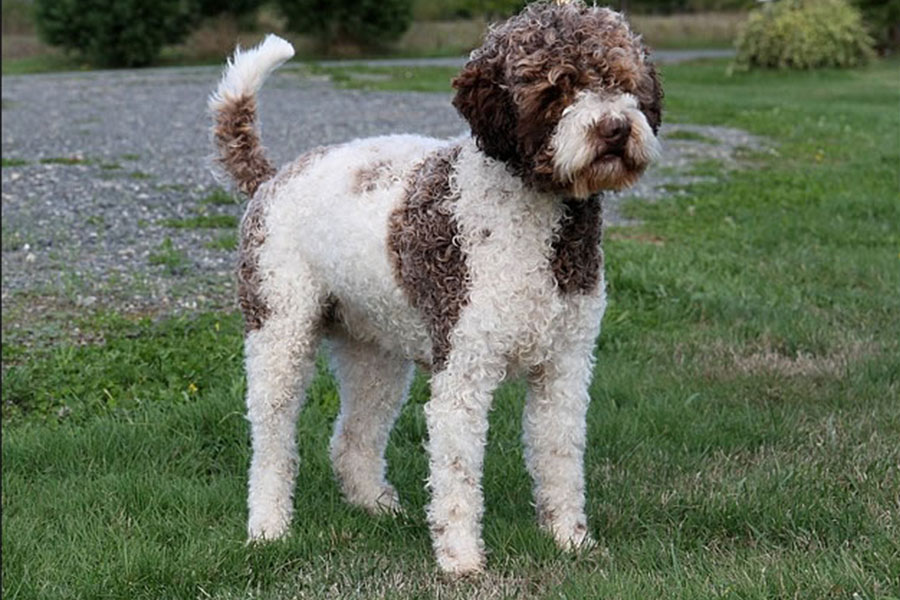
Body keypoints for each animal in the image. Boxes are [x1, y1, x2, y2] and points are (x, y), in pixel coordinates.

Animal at [209, 1, 660, 576]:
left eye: (623, 81)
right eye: (558, 87)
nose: (616, 129)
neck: (535, 222)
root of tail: (273, 177)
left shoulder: (565, 365)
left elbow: (560, 456)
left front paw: (570, 539)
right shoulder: (465, 367)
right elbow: (457, 474)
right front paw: (462, 559)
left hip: (374, 350)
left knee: (352, 438)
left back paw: (377, 506)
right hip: (278, 331)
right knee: (271, 441)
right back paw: (268, 528)